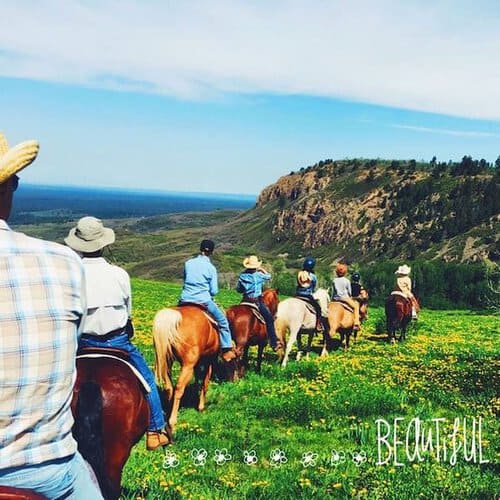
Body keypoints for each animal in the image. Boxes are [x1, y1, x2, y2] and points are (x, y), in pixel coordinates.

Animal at [152, 304, 234, 434]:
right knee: (179, 388)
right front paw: (201, 407)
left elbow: (197, 381)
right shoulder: (209, 359)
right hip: (187, 366)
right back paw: (173, 423)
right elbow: (205, 383)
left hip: (167, 362)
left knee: (169, 387)